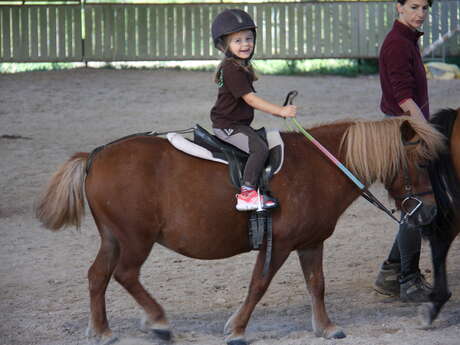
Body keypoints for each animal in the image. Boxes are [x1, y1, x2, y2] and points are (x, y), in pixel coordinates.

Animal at [36, 115, 446, 344]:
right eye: (421, 161)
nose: (430, 212)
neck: (321, 166)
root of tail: (95, 155)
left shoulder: (311, 242)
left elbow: (317, 284)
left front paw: (327, 327)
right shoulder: (278, 244)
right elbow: (258, 285)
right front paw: (236, 329)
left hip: (113, 238)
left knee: (97, 275)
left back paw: (102, 330)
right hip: (136, 239)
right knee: (124, 275)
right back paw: (158, 322)